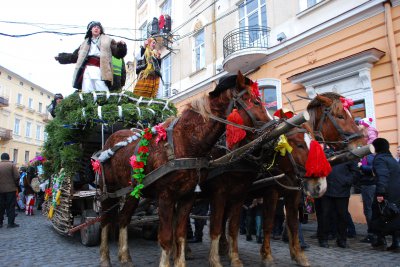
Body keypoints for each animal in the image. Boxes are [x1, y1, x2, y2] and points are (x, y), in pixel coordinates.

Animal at [98, 71, 270, 267]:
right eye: (256, 102)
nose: (271, 126)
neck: (185, 142)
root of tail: (109, 143)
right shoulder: (167, 197)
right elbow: (166, 237)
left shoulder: (189, 197)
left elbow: (180, 233)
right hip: (108, 192)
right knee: (105, 221)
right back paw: (105, 258)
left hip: (132, 192)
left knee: (123, 219)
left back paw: (125, 257)